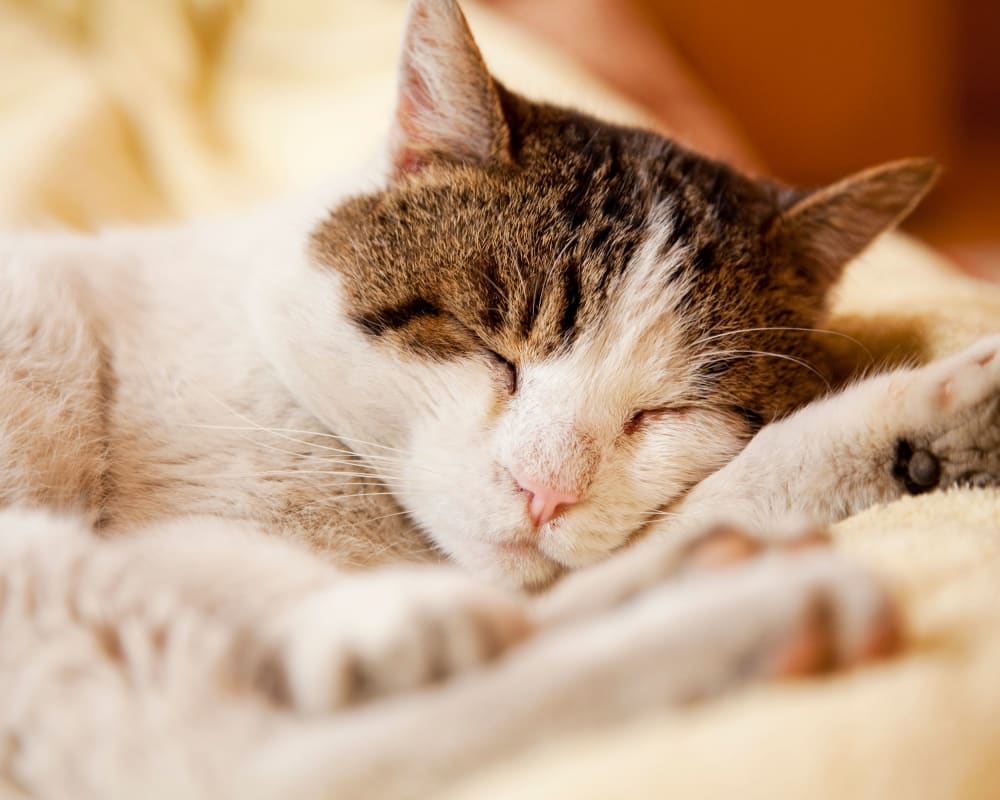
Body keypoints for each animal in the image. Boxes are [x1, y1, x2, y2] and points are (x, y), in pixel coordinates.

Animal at [5, 0, 1000, 796]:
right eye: (494, 353)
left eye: (667, 413)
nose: (545, 491)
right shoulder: (166, 526)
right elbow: (235, 567)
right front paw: (383, 618)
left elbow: (734, 479)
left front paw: (926, 430)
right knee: (259, 758)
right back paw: (777, 618)